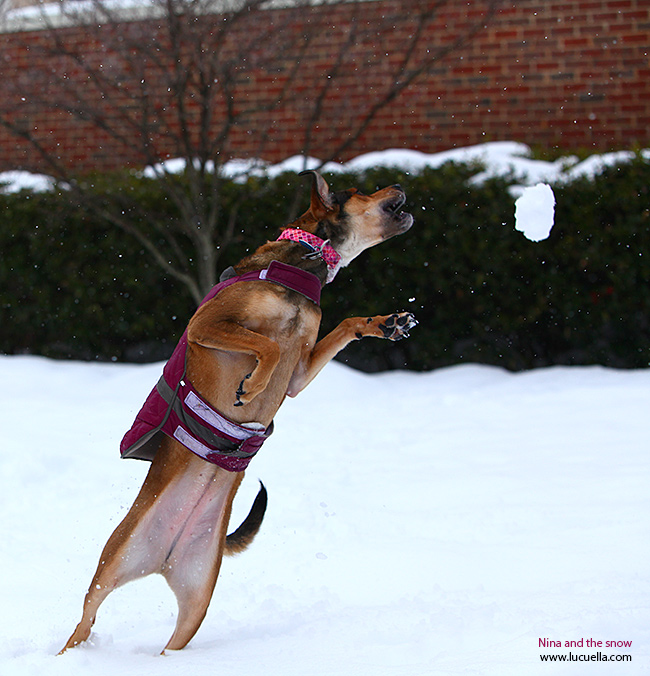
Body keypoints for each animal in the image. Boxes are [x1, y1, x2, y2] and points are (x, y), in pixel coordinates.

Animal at [60, 170, 416, 656]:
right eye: (362, 190)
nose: (400, 184)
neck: (304, 262)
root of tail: (162, 557)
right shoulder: (208, 324)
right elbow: (267, 345)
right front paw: (253, 386)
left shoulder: (299, 372)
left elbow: (341, 327)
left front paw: (385, 323)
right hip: (112, 563)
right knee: (84, 620)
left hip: (197, 599)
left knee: (171, 639)